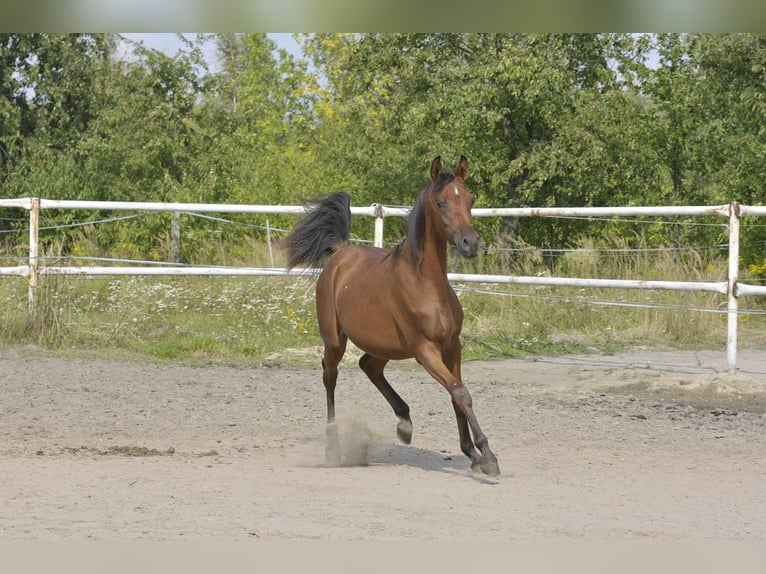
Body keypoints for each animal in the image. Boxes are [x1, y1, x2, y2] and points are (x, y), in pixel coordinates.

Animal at [284, 156, 500, 476]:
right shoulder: (425, 351)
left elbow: (456, 394)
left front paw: (472, 454)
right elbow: (461, 393)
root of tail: (341, 253)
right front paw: (487, 456)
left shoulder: (452, 346)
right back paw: (334, 449)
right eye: (440, 202)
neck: (426, 285)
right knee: (330, 377)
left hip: (386, 346)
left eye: (470, 199)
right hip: (335, 341)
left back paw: (404, 423)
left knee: (369, 366)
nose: (470, 243)